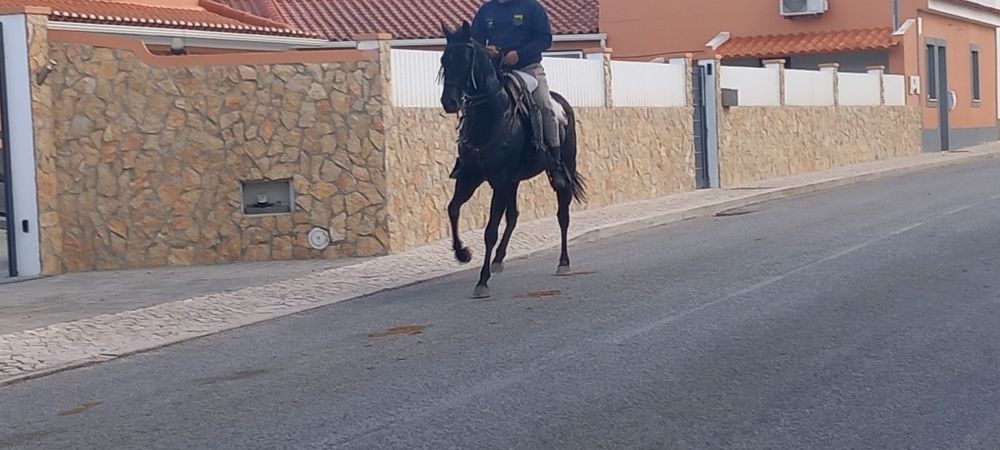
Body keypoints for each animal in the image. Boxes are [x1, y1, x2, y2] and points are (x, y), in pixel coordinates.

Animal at [438, 21, 587, 299]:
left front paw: (482, 281)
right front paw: (463, 253)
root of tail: (561, 103)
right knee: (514, 216)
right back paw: (498, 259)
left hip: (559, 175)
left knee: (562, 215)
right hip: (513, 182)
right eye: (444, 59)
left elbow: (490, 231)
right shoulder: (470, 177)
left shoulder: (500, 180)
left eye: (465, 59)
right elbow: (453, 209)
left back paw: (563, 262)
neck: (492, 115)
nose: (449, 102)